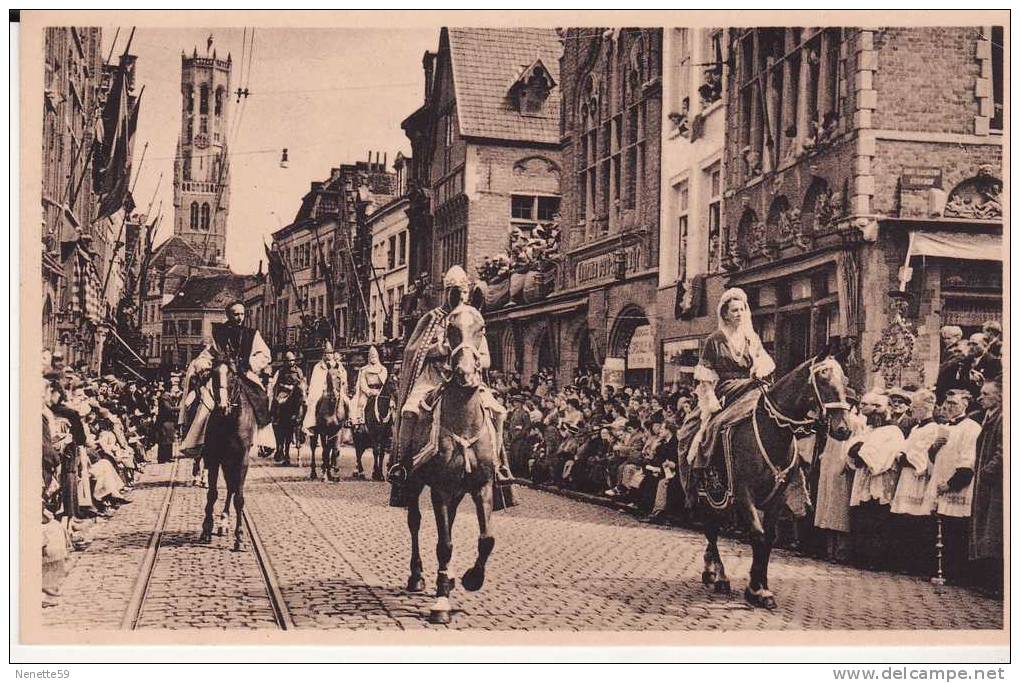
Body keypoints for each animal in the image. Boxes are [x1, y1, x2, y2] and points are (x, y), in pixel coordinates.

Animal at [401, 305, 497, 627]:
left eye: (481, 328)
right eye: (451, 330)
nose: (465, 374)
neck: (463, 423)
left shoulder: (482, 486)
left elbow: (486, 539)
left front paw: (472, 578)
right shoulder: (440, 489)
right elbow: (444, 544)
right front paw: (442, 602)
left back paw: (450, 577)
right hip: (414, 483)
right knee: (415, 522)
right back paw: (417, 576)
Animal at [685, 350, 852, 611]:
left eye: (844, 380)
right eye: (823, 379)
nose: (843, 429)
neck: (773, 430)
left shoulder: (777, 498)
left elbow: (769, 540)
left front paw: (762, 588)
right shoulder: (744, 495)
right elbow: (758, 535)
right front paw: (755, 589)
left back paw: (712, 570)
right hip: (707, 495)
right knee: (711, 530)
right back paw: (719, 575)